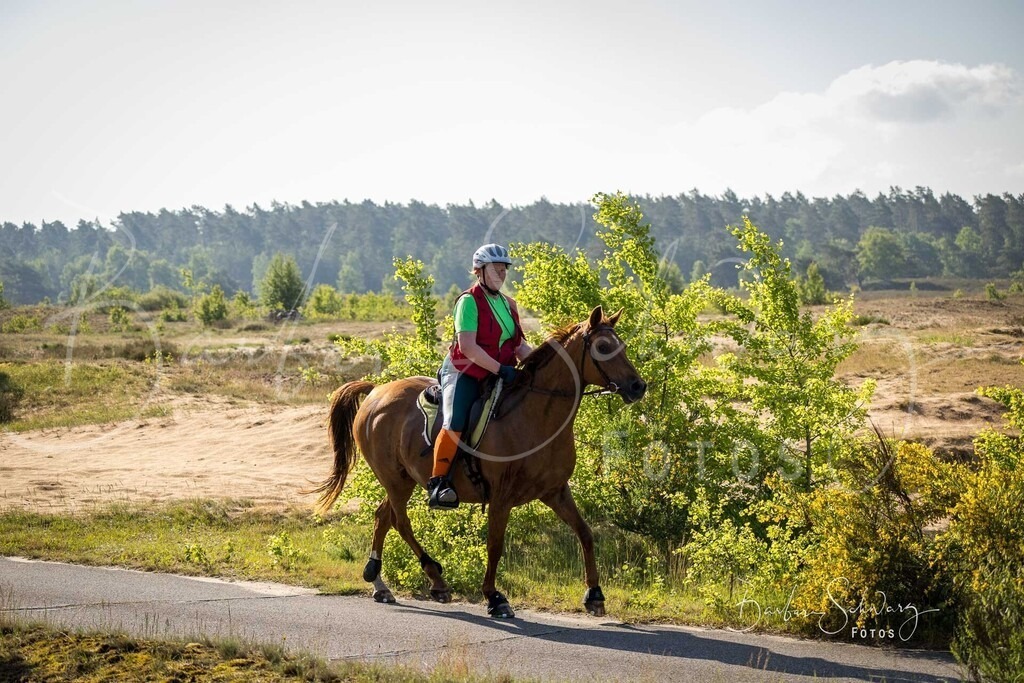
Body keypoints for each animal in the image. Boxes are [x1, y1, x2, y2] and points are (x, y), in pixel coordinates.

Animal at [310, 305, 647, 618]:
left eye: (622, 345)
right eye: (602, 347)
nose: (638, 386)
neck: (537, 416)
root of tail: (375, 391)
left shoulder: (555, 491)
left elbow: (585, 533)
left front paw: (595, 595)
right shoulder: (501, 497)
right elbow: (495, 545)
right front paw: (495, 597)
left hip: (403, 480)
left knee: (383, 516)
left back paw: (379, 582)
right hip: (394, 479)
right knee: (400, 521)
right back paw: (436, 580)